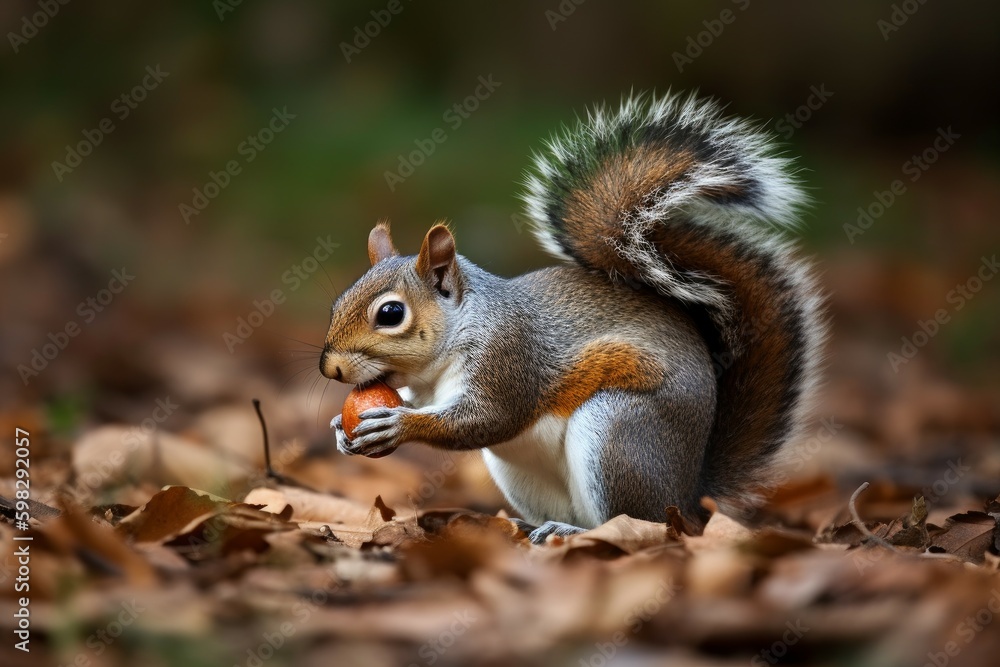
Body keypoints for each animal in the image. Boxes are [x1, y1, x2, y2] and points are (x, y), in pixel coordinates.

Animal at [320, 92, 826, 543]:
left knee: (640, 523)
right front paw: (341, 431)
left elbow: (487, 419)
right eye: (336, 302)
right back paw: (532, 527)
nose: (330, 368)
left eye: (391, 313)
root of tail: (690, 498)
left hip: (618, 434)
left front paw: (400, 425)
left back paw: (576, 531)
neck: (458, 335)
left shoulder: (508, 357)